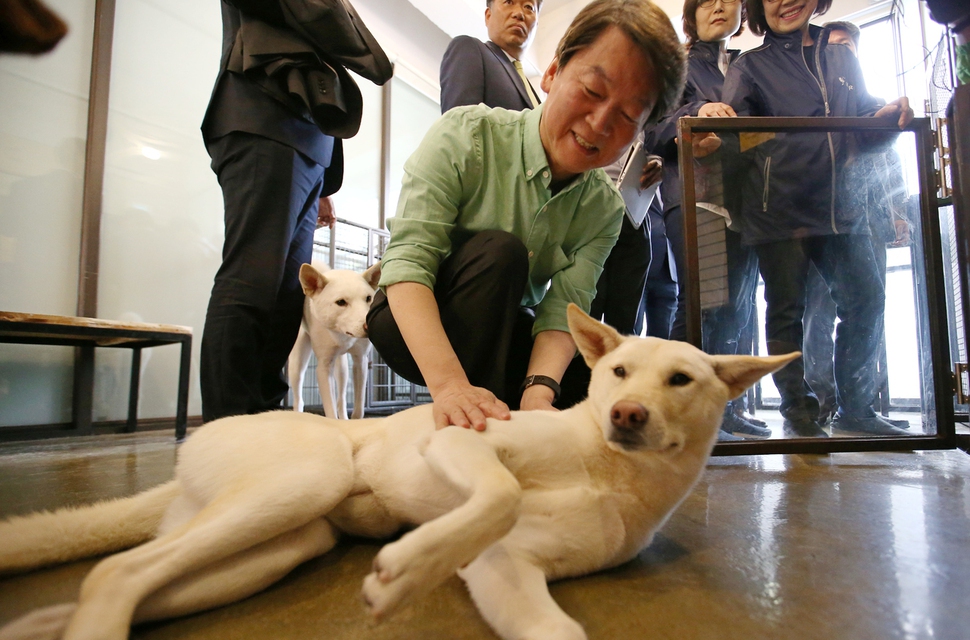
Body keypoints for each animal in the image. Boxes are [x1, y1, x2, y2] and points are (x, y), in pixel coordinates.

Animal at [0, 304, 796, 640]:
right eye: (620, 373)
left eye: (682, 380)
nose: (626, 414)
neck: (609, 469)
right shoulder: (459, 447)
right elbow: (500, 494)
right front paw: (411, 568)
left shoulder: (504, 570)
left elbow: (554, 626)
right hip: (304, 480)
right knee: (118, 573)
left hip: (278, 545)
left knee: (130, 578)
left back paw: (44, 623)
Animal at [288, 262, 378, 420]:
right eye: (340, 302)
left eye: (368, 298)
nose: (369, 327)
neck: (342, 334)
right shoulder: (324, 366)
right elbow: (330, 410)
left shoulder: (360, 360)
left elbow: (359, 408)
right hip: (296, 366)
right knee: (298, 399)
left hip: (342, 369)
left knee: (341, 399)